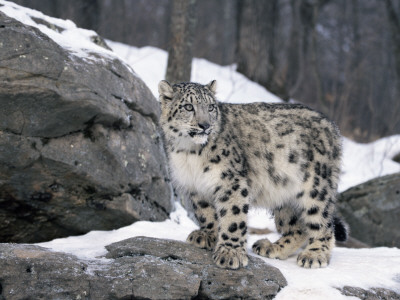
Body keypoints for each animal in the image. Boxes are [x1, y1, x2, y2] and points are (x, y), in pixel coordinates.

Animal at [157, 79, 346, 270]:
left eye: (210, 107)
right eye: (188, 107)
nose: (205, 125)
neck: (189, 152)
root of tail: (333, 127)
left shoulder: (231, 181)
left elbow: (233, 217)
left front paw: (230, 253)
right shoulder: (196, 185)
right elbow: (206, 212)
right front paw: (207, 235)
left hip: (316, 187)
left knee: (323, 223)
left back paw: (314, 255)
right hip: (284, 196)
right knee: (297, 227)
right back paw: (272, 248)